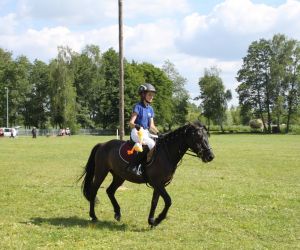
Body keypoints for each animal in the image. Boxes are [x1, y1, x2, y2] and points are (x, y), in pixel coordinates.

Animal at [78, 121, 214, 227]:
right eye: (198, 137)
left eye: (207, 136)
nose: (210, 156)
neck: (166, 153)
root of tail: (102, 144)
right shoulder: (157, 183)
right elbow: (168, 201)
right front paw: (158, 219)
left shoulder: (159, 184)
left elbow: (154, 202)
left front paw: (151, 221)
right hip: (101, 172)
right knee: (94, 190)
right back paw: (93, 216)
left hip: (119, 176)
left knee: (110, 191)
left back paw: (117, 213)